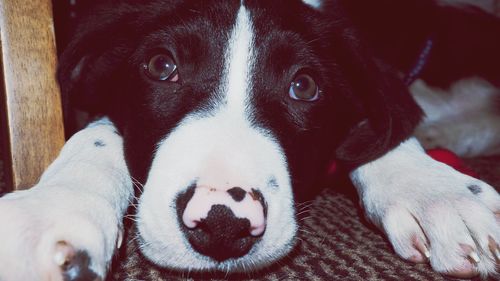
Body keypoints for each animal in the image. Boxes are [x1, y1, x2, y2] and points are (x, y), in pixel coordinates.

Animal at [0, 0, 500, 278]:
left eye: (304, 86)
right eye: (162, 66)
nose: (223, 223)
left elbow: (385, 126)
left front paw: (439, 192)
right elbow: (99, 134)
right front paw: (54, 208)